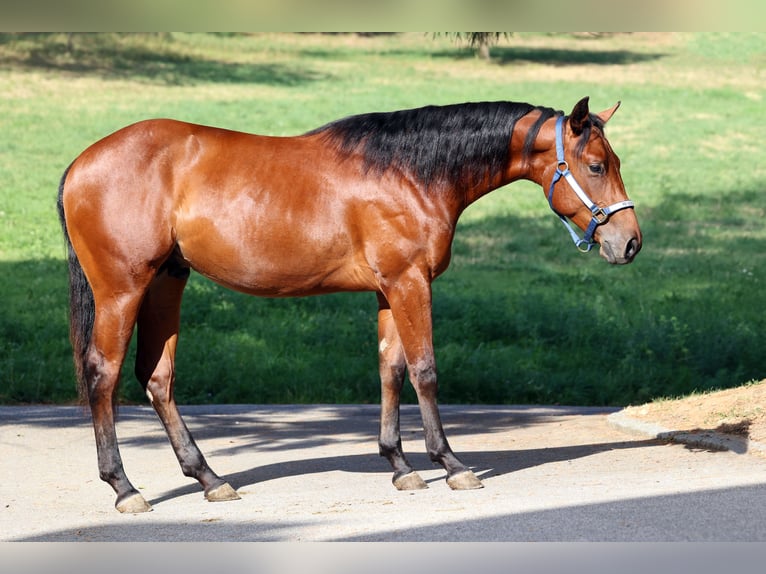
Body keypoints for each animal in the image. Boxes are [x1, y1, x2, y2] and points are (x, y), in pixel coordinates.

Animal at [57, 96, 641, 513]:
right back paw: (124, 487)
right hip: (122, 289)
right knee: (103, 373)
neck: (410, 172)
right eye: (595, 165)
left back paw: (209, 478)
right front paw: (451, 464)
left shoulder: (389, 289)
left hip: (166, 282)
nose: (630, 243)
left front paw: (400, 465)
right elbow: (424, 370)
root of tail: (82, 163)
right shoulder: (410, 283)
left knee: (157, 377)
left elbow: (390, 370)